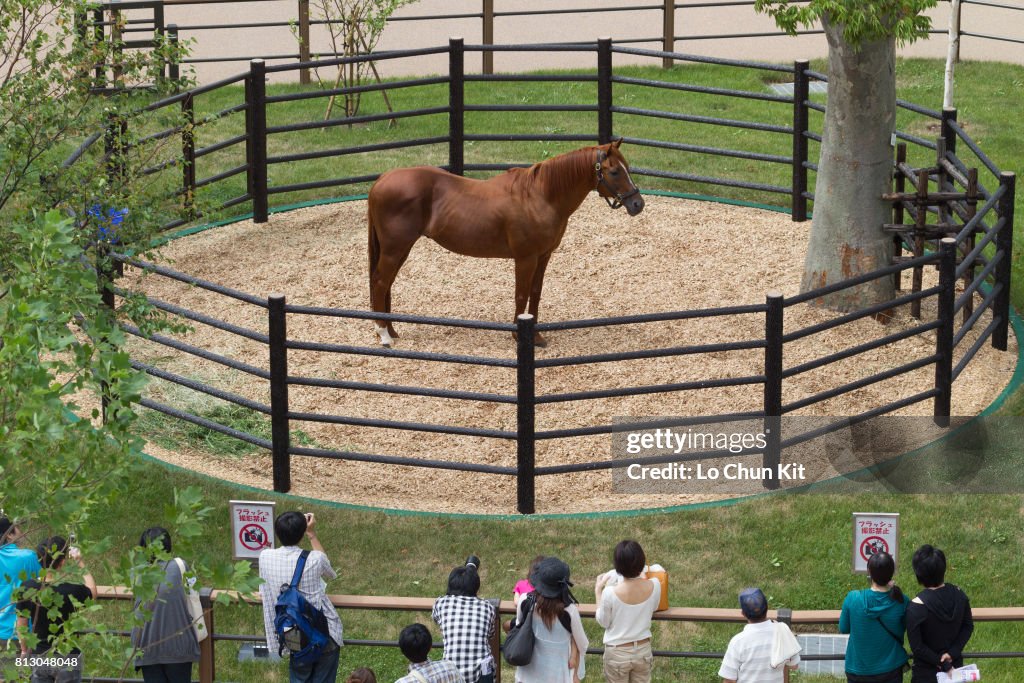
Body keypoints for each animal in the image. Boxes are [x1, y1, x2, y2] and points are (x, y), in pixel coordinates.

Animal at [367, 139, 644, 347]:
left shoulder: (543, 256)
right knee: (380, 282)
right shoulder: (525, 258)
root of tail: (381, 181)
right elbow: (521, 295)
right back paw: (384, 335)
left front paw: (536, 336)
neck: (540, 196)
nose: (637, 204)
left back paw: (391, 330)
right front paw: (517, 335)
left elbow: (535, 294)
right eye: (614, 171)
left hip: (400, 249)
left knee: (386, 283)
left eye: (628, 167)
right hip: (395, 249)